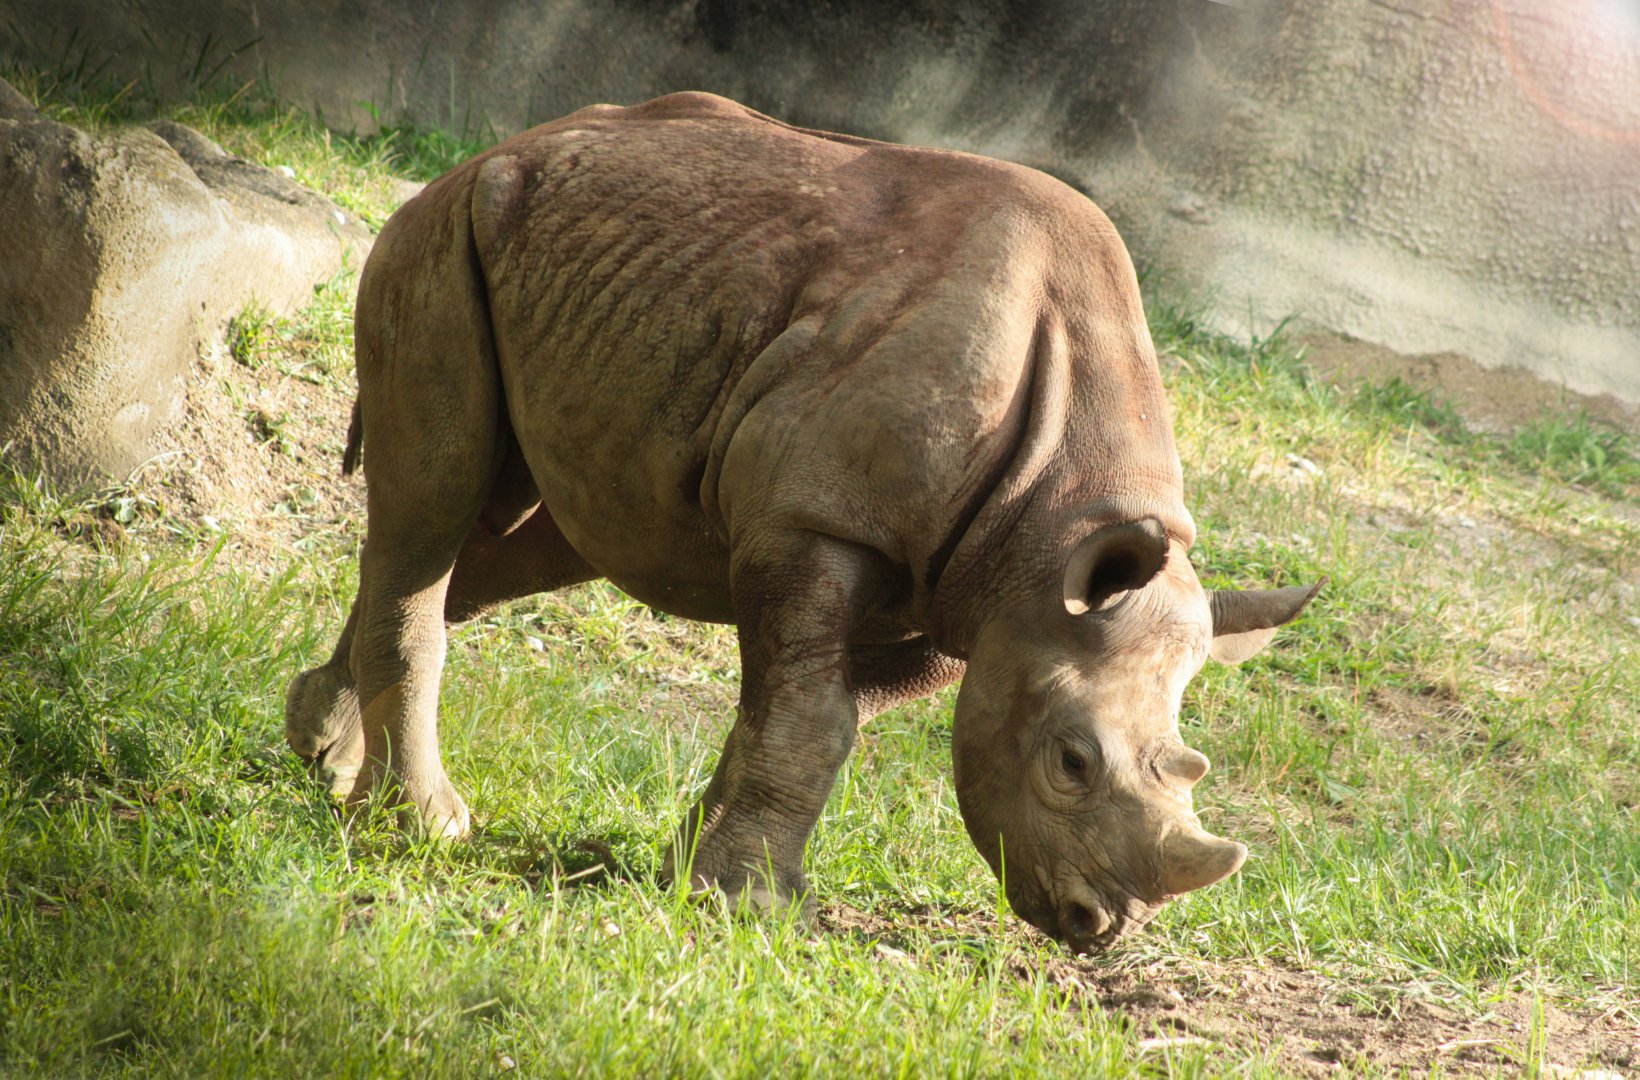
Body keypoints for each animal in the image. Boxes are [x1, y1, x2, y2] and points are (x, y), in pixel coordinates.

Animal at [285, 91, 1320, 952]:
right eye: (1070, 761)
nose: (1102, 925)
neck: (1050, 535)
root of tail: (498, 147)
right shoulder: (818, 521)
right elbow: (813, 719)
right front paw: (751, 905)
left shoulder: (971, 597)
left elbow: (803, 718)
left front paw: (697, 878)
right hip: (442, 231)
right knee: (439, 498)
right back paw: (419, 825)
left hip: (581, 273)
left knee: (518, 542)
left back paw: (321, 752)